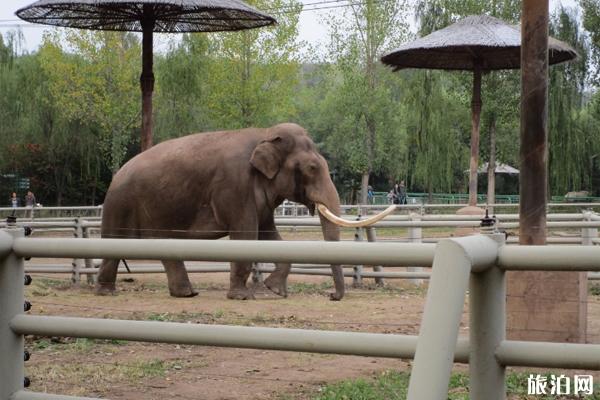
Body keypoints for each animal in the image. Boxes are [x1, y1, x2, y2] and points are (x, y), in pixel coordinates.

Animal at [95, 122, 346, 300]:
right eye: (312, 168)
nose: (331, 296)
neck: (264, 133)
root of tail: (117, 174)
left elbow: (269, 236)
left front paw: (275, 290)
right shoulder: (235, 185)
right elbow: (246, 234)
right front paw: (242, 297)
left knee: (164, 246)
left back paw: (186, 294)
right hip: (120, 204)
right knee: (115, 243)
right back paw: (107, 292)